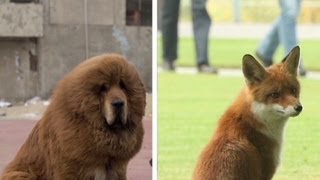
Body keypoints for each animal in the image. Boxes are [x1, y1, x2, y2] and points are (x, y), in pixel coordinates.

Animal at [0, 54, 146, 179]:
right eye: (103, 88)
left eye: (123, 86)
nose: (119, 103)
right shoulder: (69, 170)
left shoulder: (118, 169)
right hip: (21, 174)